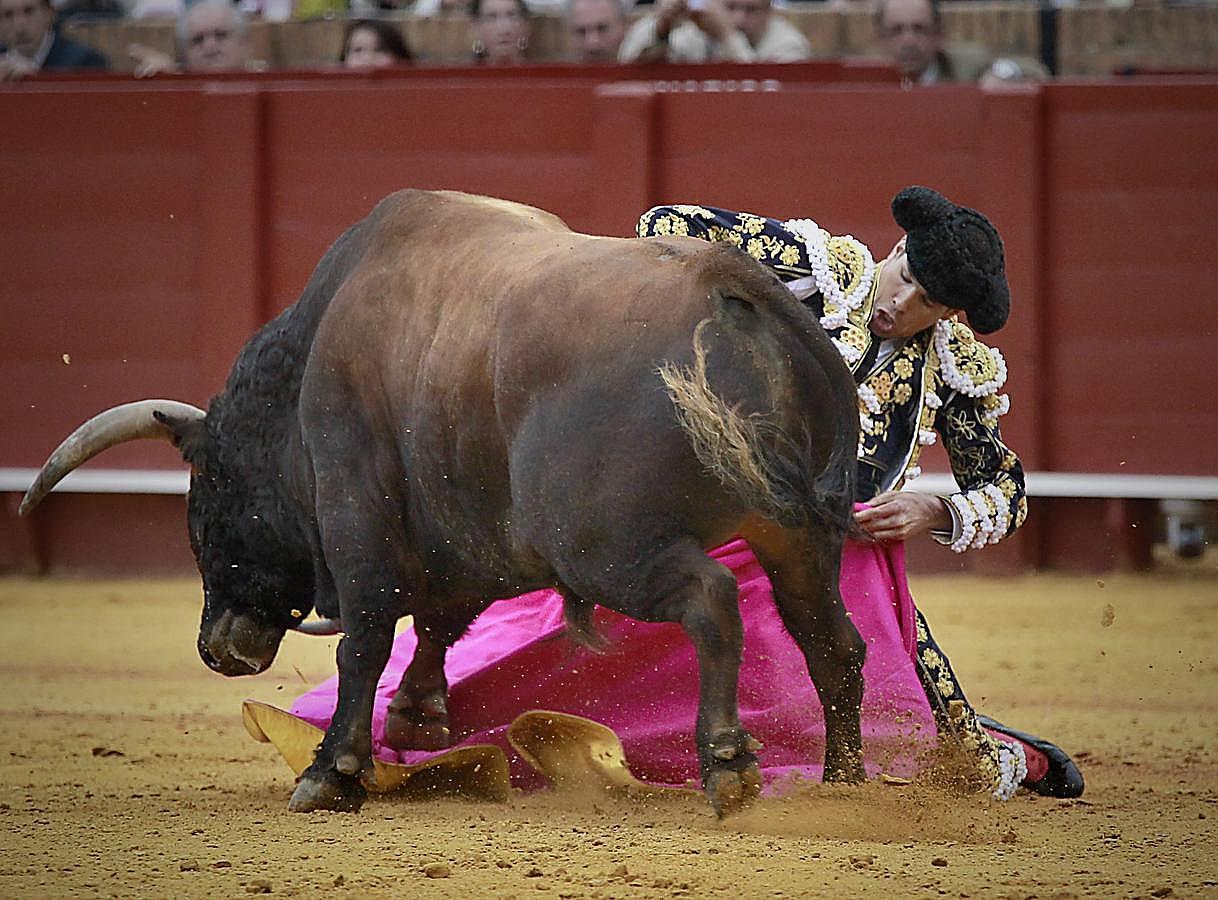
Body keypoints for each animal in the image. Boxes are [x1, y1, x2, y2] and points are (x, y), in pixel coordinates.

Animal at [16, 192, 867, 818]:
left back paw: (728, 764)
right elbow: (437, 620)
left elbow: (364, 637)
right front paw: (417, 718)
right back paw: (843, 780)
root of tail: (724, 285)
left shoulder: (355, 507)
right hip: (795, 540)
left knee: (714, 602)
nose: (217, 649)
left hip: (609, 550)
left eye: (206, 509)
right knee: (834, 645)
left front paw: (332, 773)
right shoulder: (464, 530)